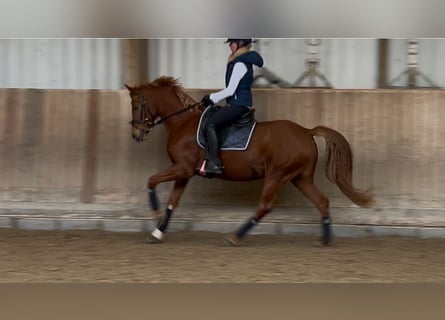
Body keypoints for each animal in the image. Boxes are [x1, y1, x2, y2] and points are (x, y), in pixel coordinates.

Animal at [124, 76, 372, 246]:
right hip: (300, 178)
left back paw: (235, 236)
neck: (183, 123)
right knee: (321, 202)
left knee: (265, 206)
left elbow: (151, 181)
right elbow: (172, 203)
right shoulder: (184, 173)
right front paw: (157, 232)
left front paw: (155, 213)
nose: (136, 135)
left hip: (277, 175)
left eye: (136, 106)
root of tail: (306, 131)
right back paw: (325, 240)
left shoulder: (181, 168)